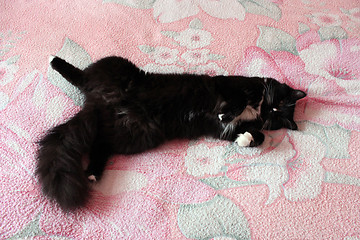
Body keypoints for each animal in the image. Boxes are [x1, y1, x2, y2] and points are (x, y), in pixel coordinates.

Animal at [35, 56, 306, 210]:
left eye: (278, 113)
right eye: (280, 102)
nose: (271, 108)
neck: (256, 107)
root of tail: (98, 103)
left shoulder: (227, 131)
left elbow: (257, 135)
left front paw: (246, 139)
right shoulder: (232, 86)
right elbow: (237, 103)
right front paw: (227, 113)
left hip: (131, 135)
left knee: (101, 144)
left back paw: (92, 174)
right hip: (115, 66)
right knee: (80, 75)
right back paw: (54, 60)